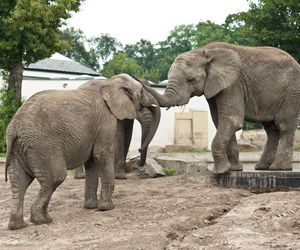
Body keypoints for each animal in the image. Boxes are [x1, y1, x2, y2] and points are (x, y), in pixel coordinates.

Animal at [4, 73, 161, 229]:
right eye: (141, 92)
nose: (139, 151)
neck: (110, 82)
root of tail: (13, 128)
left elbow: (91, 162)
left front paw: (91, 207)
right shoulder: (105, 119)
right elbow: (102, 154)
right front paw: (106, 208)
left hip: (20, 148)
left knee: (19, 182)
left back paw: (18, 226)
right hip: (42, 146)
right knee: (55, 178)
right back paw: (42, 220)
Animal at [138, 41, 300, 174]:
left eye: (191, 80)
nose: (142, 80)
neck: (204, 51)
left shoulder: (233, 84)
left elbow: (231, 119)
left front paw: (220, 171)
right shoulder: (215, 86)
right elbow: (220, 120)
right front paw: (233, 169)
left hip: (291, 93)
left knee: (284, 126)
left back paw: (279, 168)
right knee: (271, 129)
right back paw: (262, 167)